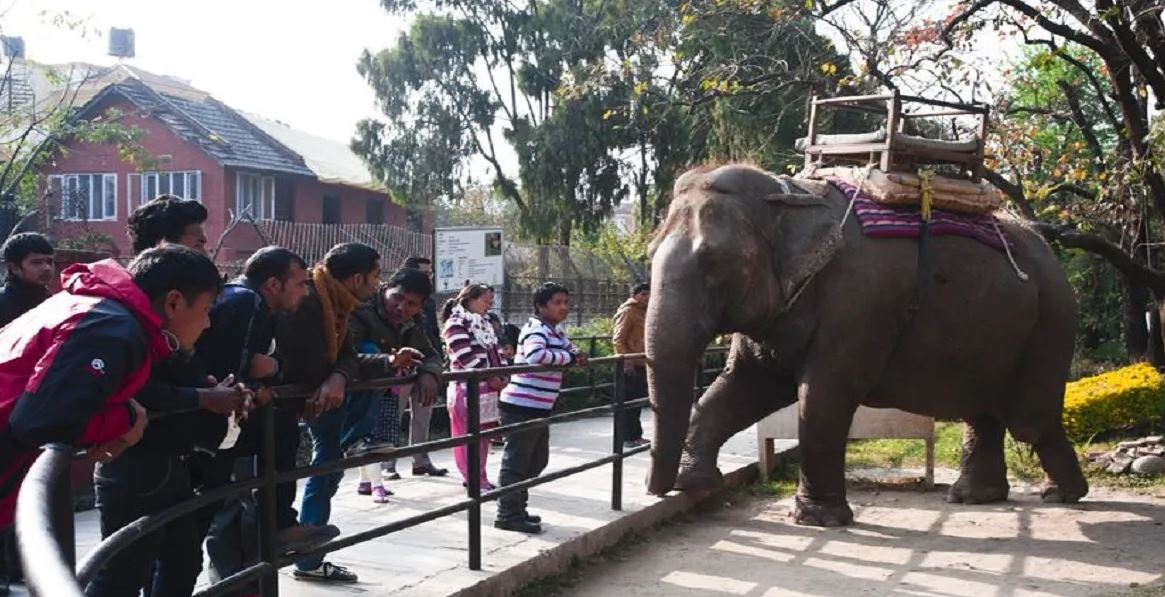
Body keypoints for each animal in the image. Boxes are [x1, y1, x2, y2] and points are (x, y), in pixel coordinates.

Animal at [643, 162, 1085, 527]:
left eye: (711, 261)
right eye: (650, 252)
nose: (654, 489)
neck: (792, 195)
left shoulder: (860, 301)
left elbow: (821, 396)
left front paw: (817, 520)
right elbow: (743, 386)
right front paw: (694, 482)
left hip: (1052, 321)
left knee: (1029, 420)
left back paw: (1061, 495)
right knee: (984, 412)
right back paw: (974, 498)